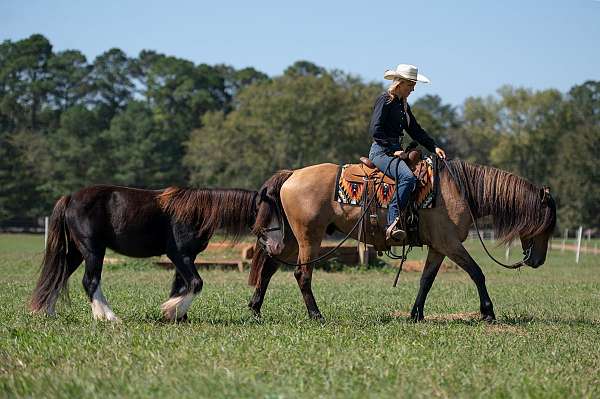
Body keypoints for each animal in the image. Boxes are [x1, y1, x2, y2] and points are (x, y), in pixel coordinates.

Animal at [31, 184, 284, 322]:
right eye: (266, 213)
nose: (278, 247)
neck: (197, 210)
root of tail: (70, 198)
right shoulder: (179, 255)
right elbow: (195, 283)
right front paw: (171, 311)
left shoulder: (187, 258)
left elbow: (181, 286)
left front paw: (177, 315)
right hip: (93, 250)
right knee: (90, 281)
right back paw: (108, 317)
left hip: (77, 251)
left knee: (59, 275)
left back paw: (47, 311)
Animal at [250, 159, 556, 322]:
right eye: (547, 224)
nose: (539, 261)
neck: (459, 190)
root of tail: (292, 174)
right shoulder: (451, 244)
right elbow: (477, 273)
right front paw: (488, 312)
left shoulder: (438, 247)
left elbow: (426, 280)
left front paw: (416, 314)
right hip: (308, 238)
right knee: (302, 274)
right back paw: (316, 315)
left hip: (293, 239)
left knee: (269, 267)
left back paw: (255, 310)